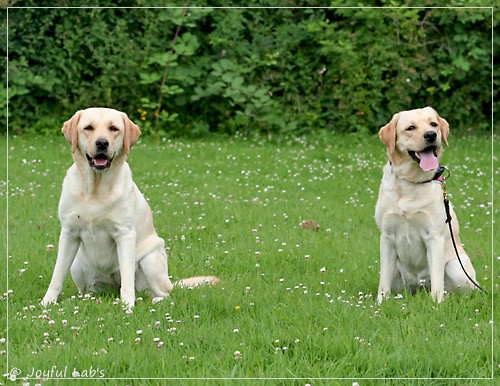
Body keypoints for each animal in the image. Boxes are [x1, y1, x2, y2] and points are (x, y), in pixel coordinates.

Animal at [43, 106, 221, 308]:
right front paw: (47, 302)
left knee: (162, 293)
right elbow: (57, 274)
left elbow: (127, 277)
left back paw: (155, 299)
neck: (96, 189)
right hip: (77, 266)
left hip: (151, 260)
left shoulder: (125, 234)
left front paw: (127, 306)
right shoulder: (69, 233)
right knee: (88, 291)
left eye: (113, 128)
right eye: (88, 128)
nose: (102, 143)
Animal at [376, 107, 476, 304]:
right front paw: (380, 304)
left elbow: (437, 281)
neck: (411, 182)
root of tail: (420, 286)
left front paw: (436, 304)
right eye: (410, 128)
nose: (431, 135)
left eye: (433, 124)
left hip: (456, 267)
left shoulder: (434, 237)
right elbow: (383, 282)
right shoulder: (387, 237)